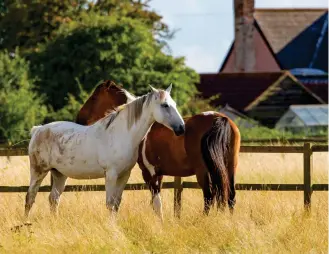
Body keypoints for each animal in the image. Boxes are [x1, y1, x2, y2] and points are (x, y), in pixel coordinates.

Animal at [25, 84, 184, 218]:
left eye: (174, 104)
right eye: (165, 105)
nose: (181, 128)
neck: (121, 134)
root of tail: (38, 130)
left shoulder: (124, 175)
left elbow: (117, 204)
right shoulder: (111, 175)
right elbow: (110, 204)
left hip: (59, 174)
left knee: (53, 199)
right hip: (38, 171)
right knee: (30, 197)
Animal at [75, 81, 240, 218]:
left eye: (94, 98)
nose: (80, 119)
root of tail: (219, 118)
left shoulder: (149, 172)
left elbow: (156, 202)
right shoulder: (158, 173)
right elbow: (155, 203)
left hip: (203, 171)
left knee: (209, 196)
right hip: (230, 167)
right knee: (230, 196)